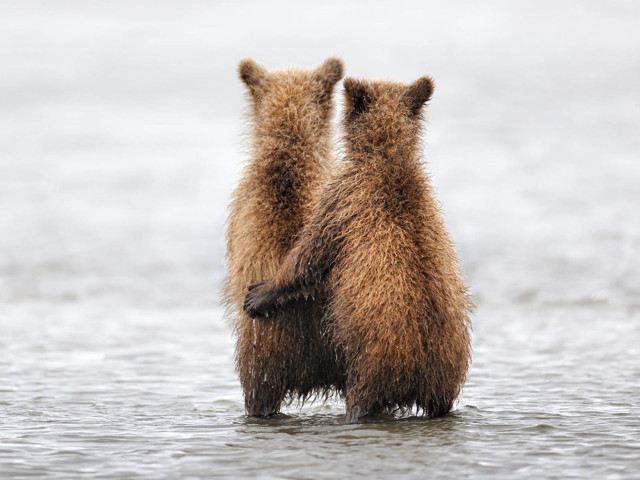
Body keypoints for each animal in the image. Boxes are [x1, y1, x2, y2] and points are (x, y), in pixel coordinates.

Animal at [244, 75, 473, 423]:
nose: (254, 296)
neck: (387, 158)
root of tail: (424, 366)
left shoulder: (342, 199)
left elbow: (309, 256)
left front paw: (259, 293)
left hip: (373, 362)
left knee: (361, 399)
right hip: (445, 375)